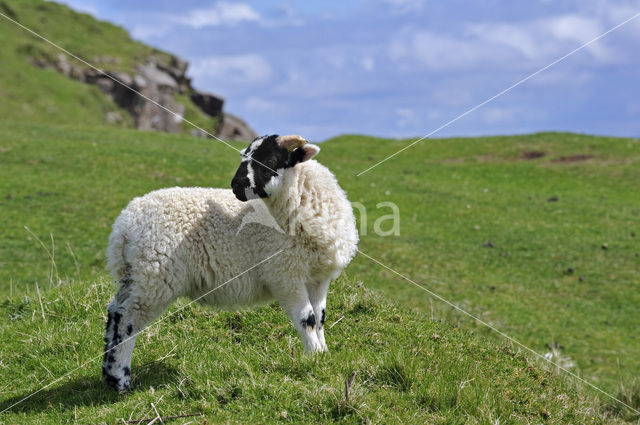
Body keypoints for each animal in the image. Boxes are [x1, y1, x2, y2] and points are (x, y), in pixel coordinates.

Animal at [102, 133, 358, 390]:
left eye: (270, 159)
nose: (235, 185)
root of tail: (125, 225)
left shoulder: (318, 278)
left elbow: (320, 318)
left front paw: (323, 353)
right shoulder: (285, 275)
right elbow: (307, 319)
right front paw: (314, 357)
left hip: (136, 274)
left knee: (115, 311)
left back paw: (109, 372)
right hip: (155, 274)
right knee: (128, 319)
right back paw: (121, 378)